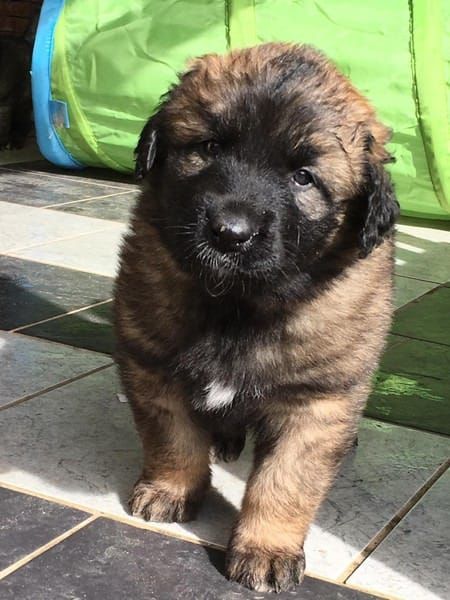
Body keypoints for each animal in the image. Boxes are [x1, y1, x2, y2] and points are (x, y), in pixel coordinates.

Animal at [114, 44, 400, 592]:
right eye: (209, 147)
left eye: (303, 177)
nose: (230, 232)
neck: (238, 303)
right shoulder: (153, 366)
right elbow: (172, 439)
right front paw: (169, 491)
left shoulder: (317, 403)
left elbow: (285, 481)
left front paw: (266, 549)